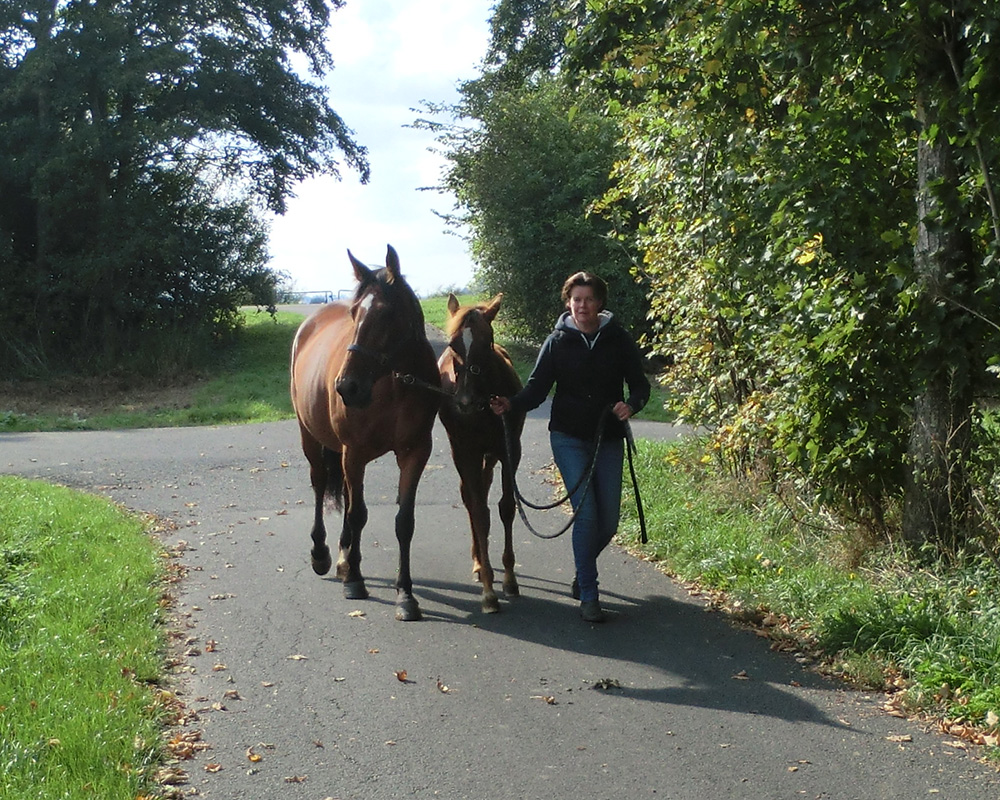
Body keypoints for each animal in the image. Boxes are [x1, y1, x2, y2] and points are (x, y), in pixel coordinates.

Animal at [289, 245, 441, 621]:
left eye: (386, 314)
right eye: (355, 313)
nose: (347, 387)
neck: (394, 384)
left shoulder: (415, 452)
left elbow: (404, 521)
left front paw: (405, 595)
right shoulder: (354, 452)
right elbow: (358, 514)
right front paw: (355, 581)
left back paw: (344, 558)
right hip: (312, 438)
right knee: (320, 485)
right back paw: (323, 554)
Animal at [437, 293, 525, 613]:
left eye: (487, 341)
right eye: (453, 344)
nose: (464, 401)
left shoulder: (510, 450)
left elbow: (506, 508)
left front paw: (510, 578)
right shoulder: (467, 452)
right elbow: (478, 511)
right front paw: (488, 590)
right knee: (471, 499)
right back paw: (478, 562)